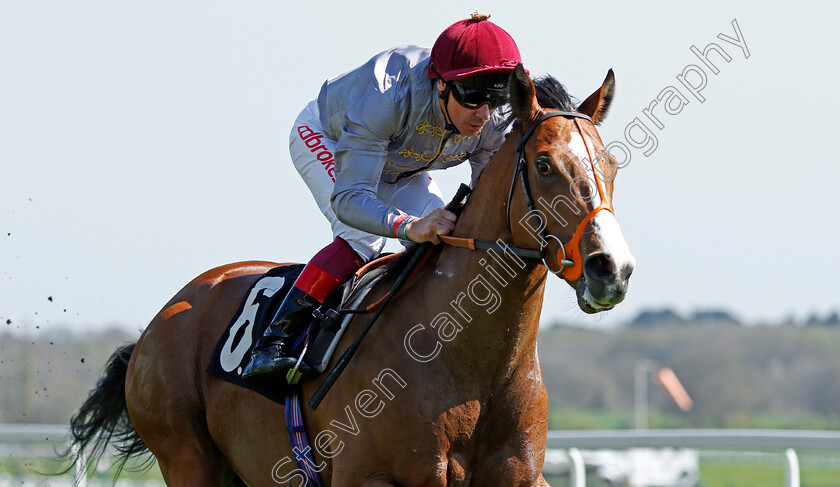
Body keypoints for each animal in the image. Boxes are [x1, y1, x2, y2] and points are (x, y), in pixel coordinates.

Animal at [69, 66, 632, 487]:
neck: (470, 362)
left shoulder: (520, 477)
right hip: (188, 459)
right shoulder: (371, 478)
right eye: (543, 165)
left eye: (610, 165)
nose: (612, 268)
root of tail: (162, 318)